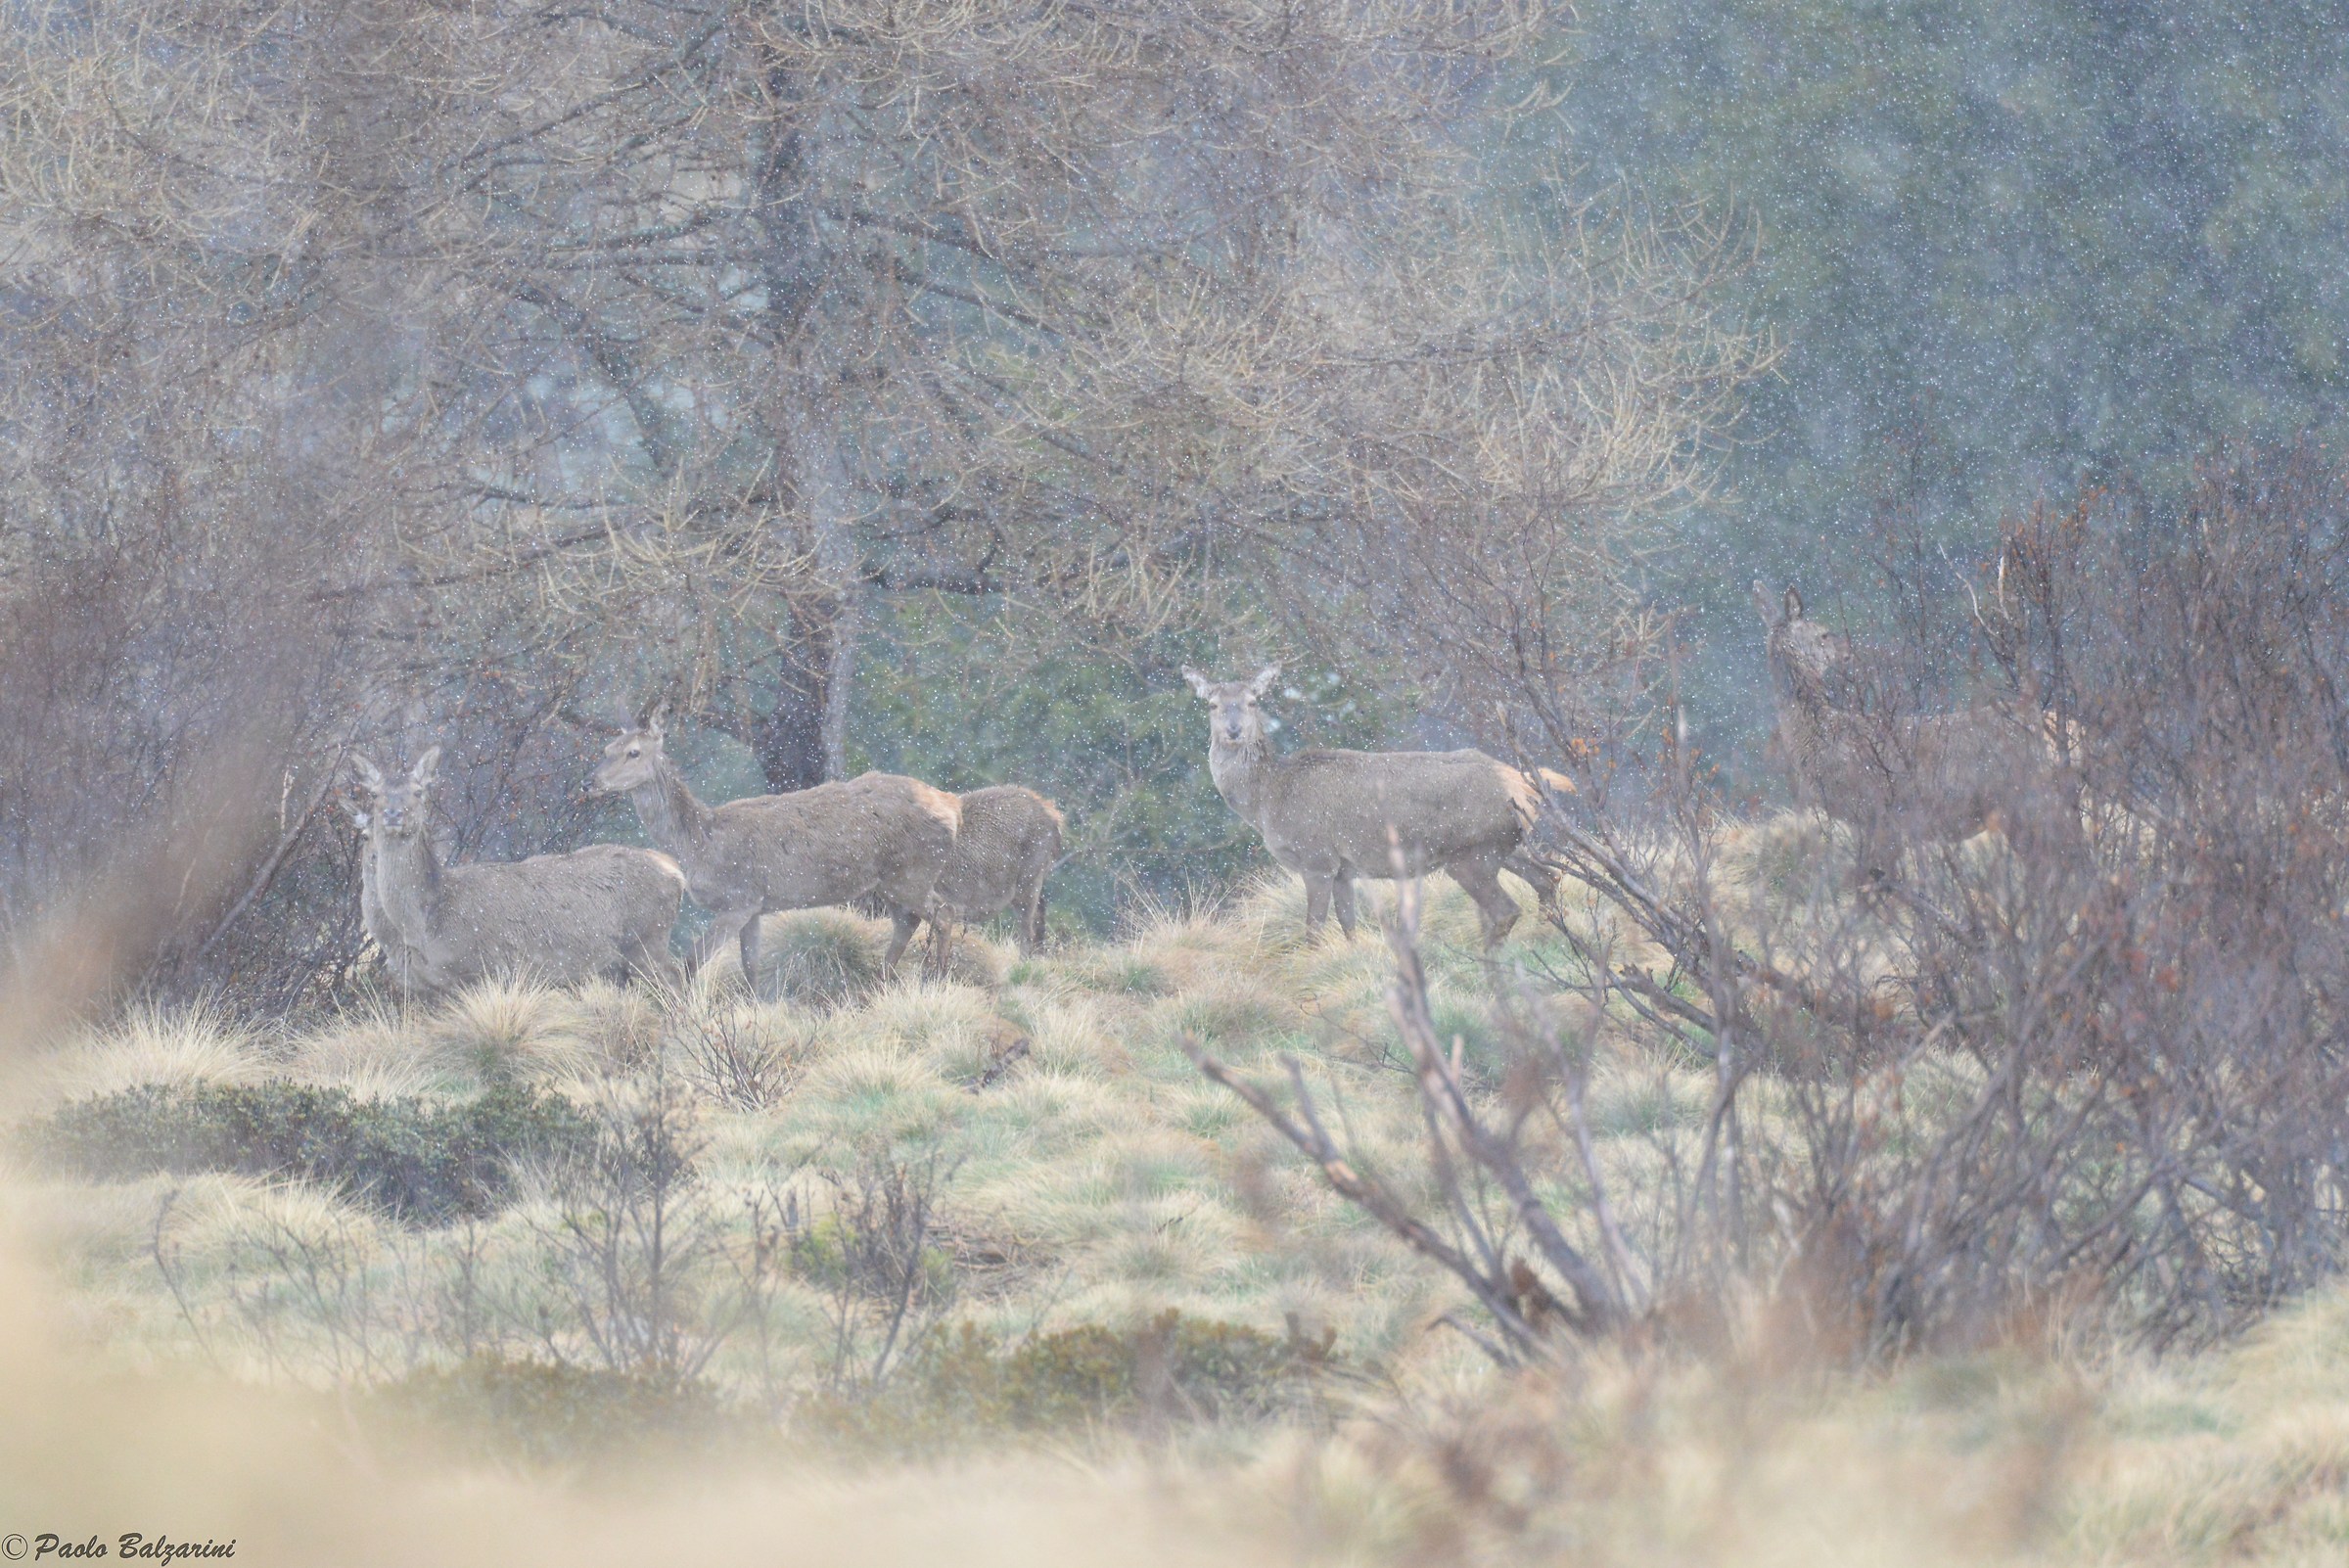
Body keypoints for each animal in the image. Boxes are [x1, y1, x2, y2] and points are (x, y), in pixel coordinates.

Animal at [349, 748, 687, 999]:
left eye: (418, 792)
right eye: (375, 794)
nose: (393, 813)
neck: (427, 921)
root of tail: (675, 871)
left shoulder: (483, 970)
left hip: (647, 940)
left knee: (677, 982)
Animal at [590, 712, 962, 996]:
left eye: (634, 752)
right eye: (606, 748)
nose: (591, 781)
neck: (699, 845)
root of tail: (952, 808)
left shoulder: (737, 898)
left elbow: (691, 962)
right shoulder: (756, 904)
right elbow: (750, 965)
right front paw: (755, 1008)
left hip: (911, 872)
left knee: (945, 913)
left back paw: (938, 978)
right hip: (892, 882)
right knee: (908, 922)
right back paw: (879, 983)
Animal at [1180, 666, 1565, 947]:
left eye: (1252, 701)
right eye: (1212, 704)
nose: (1233, 730)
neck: (1267, 799)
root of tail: (1519, 783)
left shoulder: (1316, 857)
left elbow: (1314, 928)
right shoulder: (1343, 868)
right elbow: (1348, 924)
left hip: (1470, 852)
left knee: (1507, 908)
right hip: (1507, 844)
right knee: (1549, 877)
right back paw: (1547, 933)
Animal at [1753, 581, 2078, 884]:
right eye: (1822, 634)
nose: (1847, 650)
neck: (1823, 736)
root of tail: (2033, 716)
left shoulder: (1881, 813)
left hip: (2022, 800)